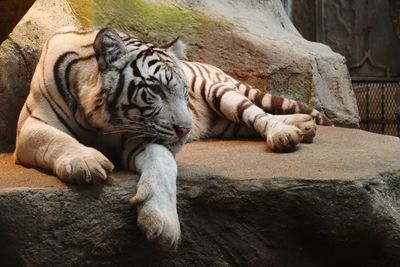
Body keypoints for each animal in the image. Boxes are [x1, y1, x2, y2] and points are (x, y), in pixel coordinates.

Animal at [14, 26, 332, 250]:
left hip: (223, 95)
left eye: (184, 91)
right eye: (155, 90)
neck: (98, 119)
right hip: (227, 122)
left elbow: (164, 164)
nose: (186, 130)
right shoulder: (31, 124)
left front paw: (162, 224)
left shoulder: (140, 138)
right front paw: (86, 162)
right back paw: (301, 126)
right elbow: (56, 140)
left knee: (258, 114)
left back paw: (287, 132)